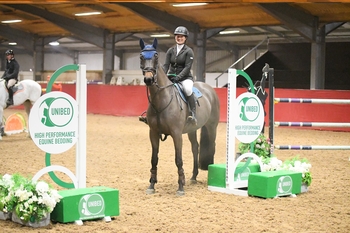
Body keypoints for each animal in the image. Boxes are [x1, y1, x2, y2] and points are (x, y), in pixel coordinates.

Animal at [139, 38, 219, 195]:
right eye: (141, 56)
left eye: (156, 55)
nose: (148, 79)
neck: (161, 100)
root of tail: (208, 88)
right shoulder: (153, 133)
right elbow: (154, 159)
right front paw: (151, 185)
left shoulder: (176, 134)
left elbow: (178, 159)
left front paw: (181, 187)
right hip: (192, 130)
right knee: (195, 147)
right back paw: (193, 177)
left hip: (212, 126)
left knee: (212, 146)